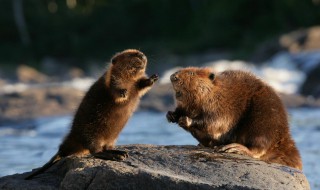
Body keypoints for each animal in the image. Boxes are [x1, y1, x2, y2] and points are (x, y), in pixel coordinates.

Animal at [25, 49, 159, 180]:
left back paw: (121, 152)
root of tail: (63, 149)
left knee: (105, 147)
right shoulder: (110, 79)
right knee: (95, 151)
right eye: (131, 54)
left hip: (111, 138)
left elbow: (141, 86)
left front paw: (153, 78)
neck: (129, 80)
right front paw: (123, 92)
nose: (142, 55)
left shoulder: (135, 84)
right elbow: (114, 87)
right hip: (92, 134)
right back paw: (116, 156)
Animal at [168, 67, 302, 169]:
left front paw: (186, 120)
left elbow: (214, 122)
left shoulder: (221, 105)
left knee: (258, 148)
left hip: (263, 122)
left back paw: (233, 148)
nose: (173, 76)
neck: (216, 91)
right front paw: (171, 115)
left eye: (191, 73)